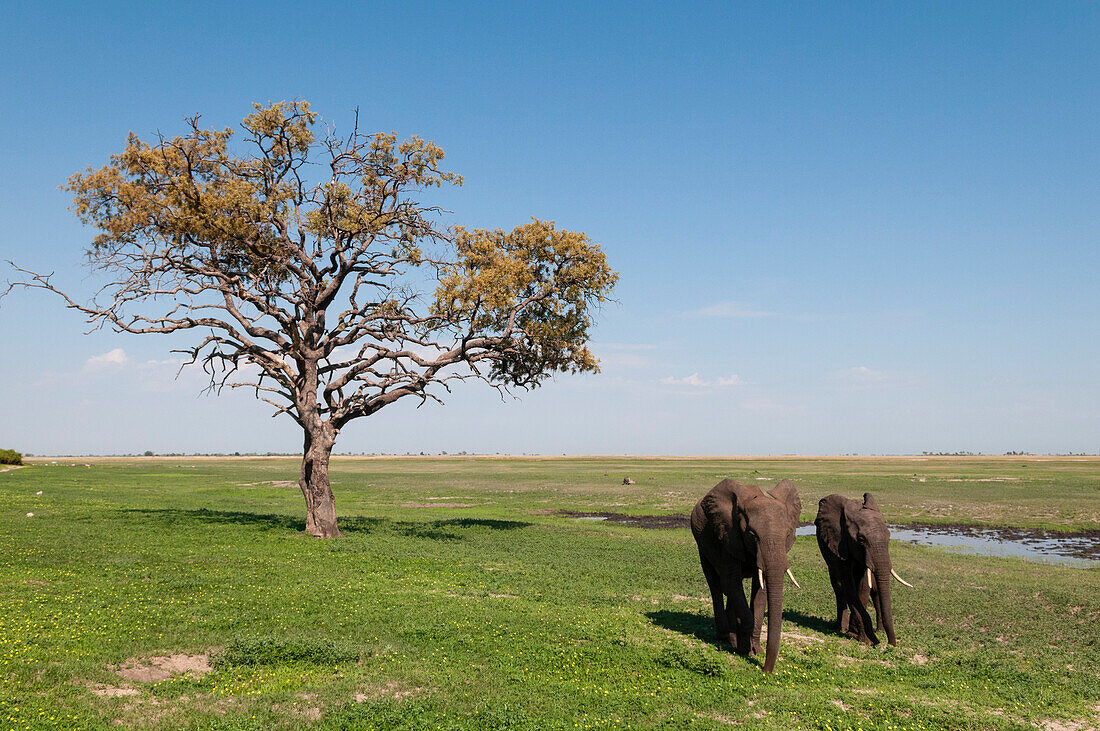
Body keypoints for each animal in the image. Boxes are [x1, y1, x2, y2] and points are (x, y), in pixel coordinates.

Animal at [690, 479, 805, 672]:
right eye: (752, 535)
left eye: (788, 534)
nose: (766, 671)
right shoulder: (728, 536)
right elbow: (730, 582)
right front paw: (744, 650)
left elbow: (760, 590)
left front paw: (755, 651)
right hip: (702, 544)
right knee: (716, 585)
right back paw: (725, 637)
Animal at [814, 490, 915, 646]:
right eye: (861, 540)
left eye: (889, 537)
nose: (891, 644)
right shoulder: (839, 545)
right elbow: (848, 585)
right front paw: (866, 639)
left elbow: (863, 587)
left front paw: (858, 635)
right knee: (838, 587)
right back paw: (840, 628)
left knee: (875, 593)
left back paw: (878, 631)